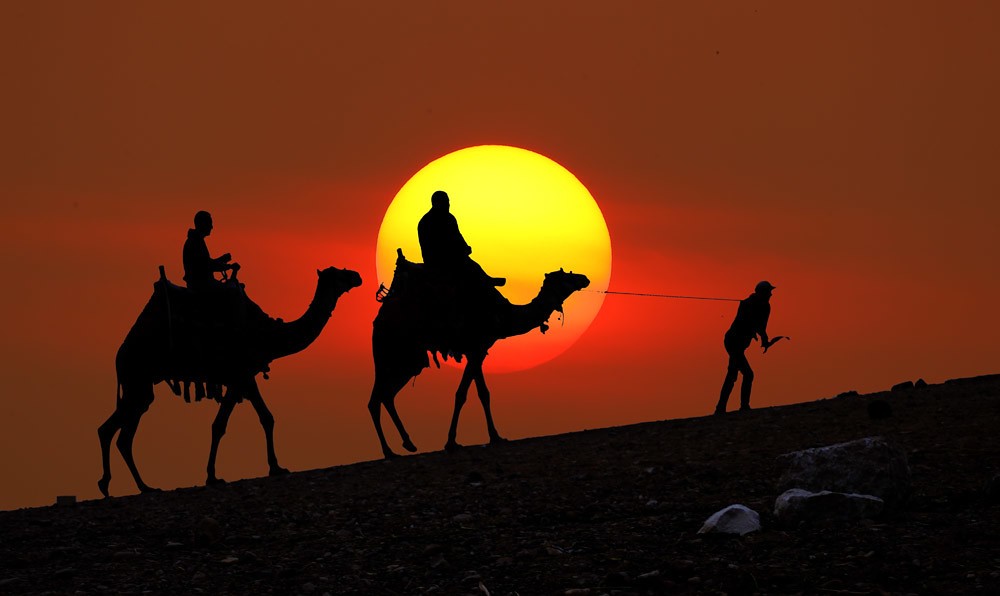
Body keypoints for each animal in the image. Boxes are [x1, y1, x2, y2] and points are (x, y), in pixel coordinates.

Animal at [97, 264, 362, 496]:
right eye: (339, 273)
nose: (357, 276)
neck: (268, 334)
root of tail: (119, 354)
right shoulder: (240, 375)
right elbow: (223, 425)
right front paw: (214, 476)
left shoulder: (245, 378)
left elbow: (263, 418)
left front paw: (275, 467)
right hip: (138, 377)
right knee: (117, 432)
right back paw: (125, 485)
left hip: (139, 384)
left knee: (117, 433)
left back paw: (133, 486)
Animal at [368, 249, 584, 458]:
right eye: (566, 275)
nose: (584, 278)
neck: (503, 314)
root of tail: (379, 321)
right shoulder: (476, 348)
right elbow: (463, 394)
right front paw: (453, 442)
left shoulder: (478, 351)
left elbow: (482, 393)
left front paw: (494, 436)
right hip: (396, 355)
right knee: (377, 398)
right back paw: (390, 451)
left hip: (406, 360)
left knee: (384, 395)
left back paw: (405, 444)